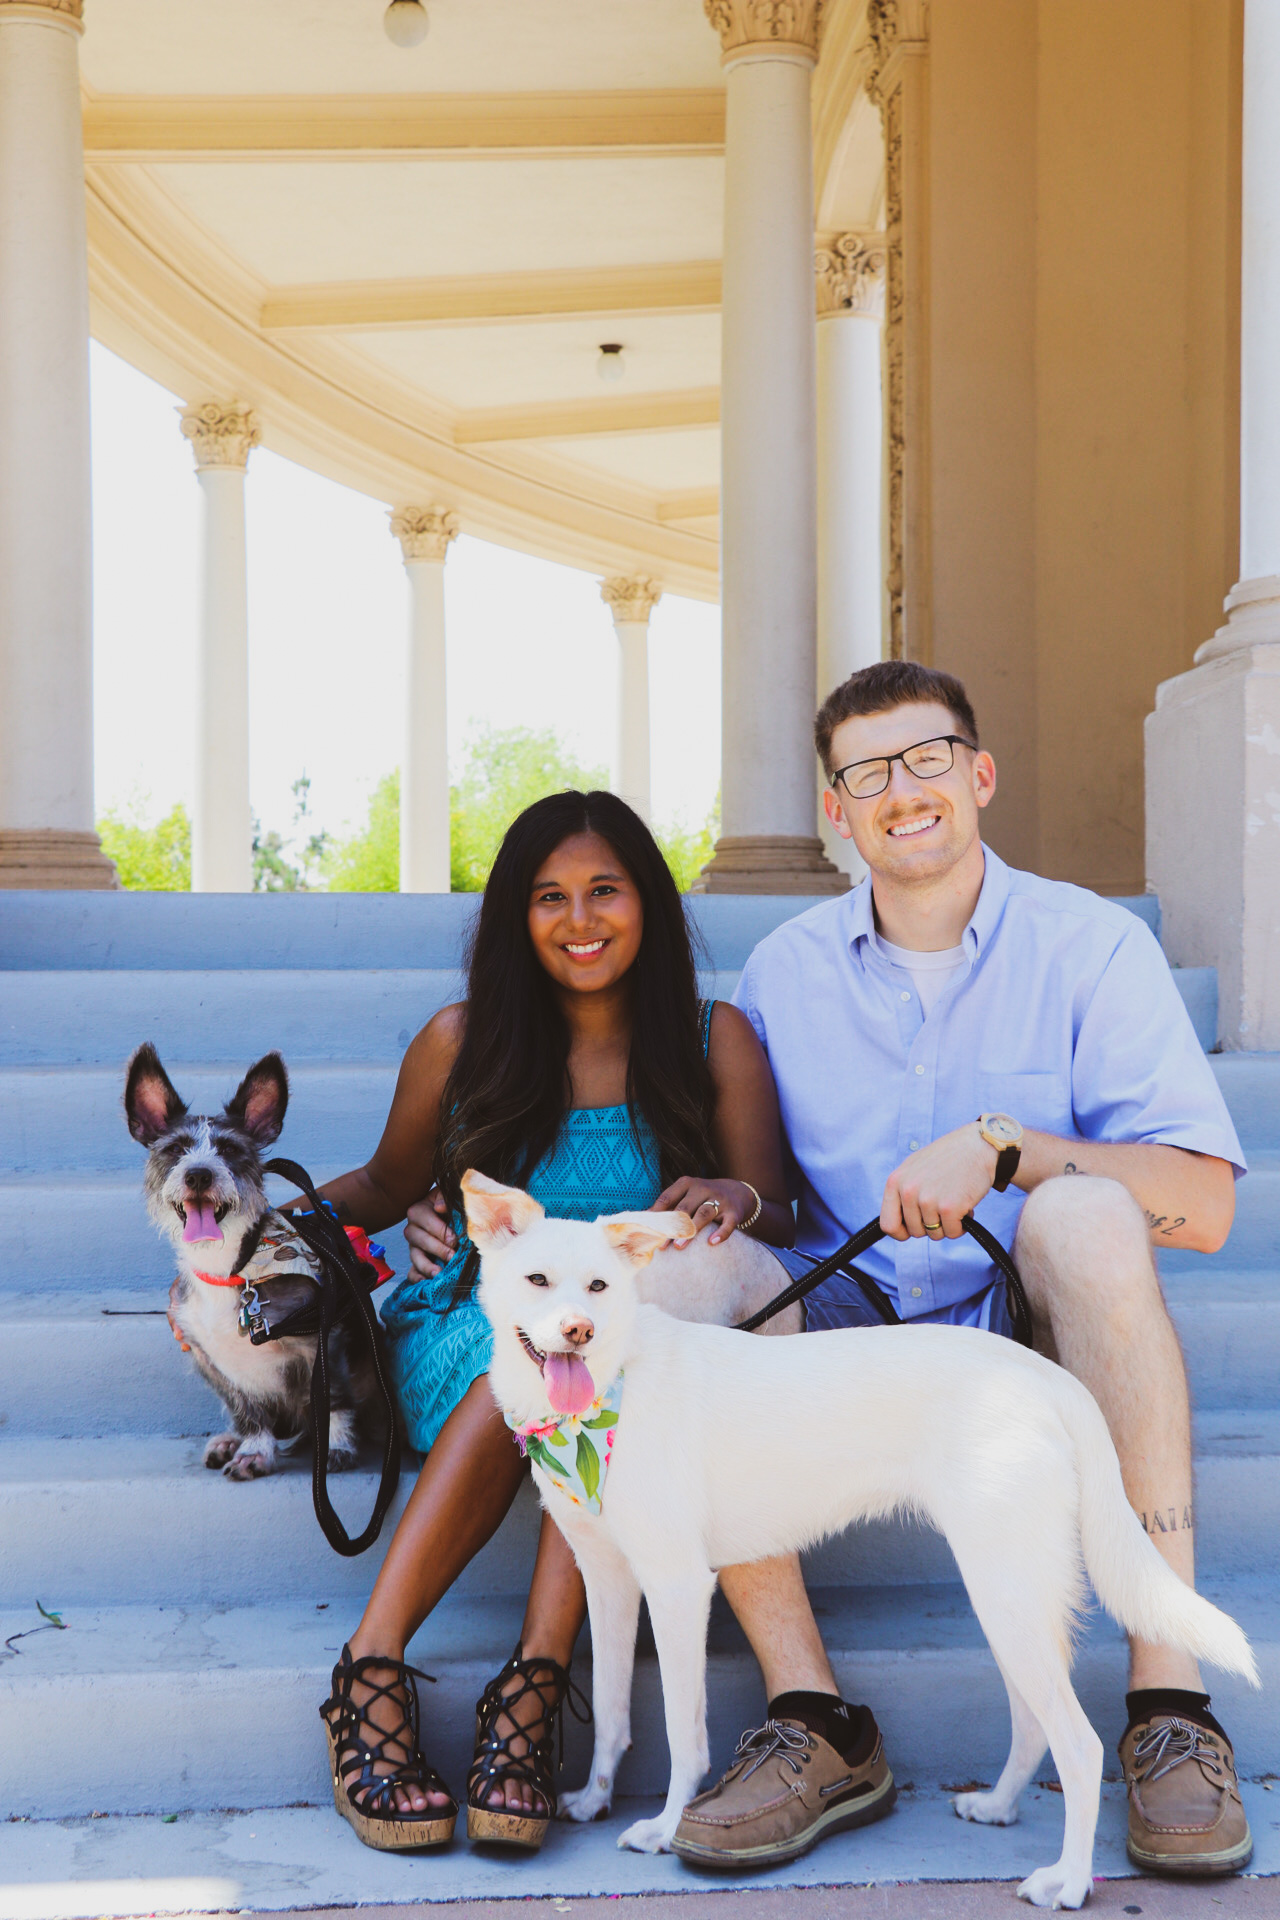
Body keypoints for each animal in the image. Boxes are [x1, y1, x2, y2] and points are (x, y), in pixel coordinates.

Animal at [125, 1043, 384, 1480]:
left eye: (230, 1149)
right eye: (175, 1149)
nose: (198, 1175)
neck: (231, 1269)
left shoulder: (321, 1343)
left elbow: (332, 1398)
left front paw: (338, 1446)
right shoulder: (206, 1358)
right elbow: (246, 1411)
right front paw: (253, 1449)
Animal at [465, 1171, 1259, 1911]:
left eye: (600, 1287)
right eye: (538, 1280)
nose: (578, 1331)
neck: (609, 1391)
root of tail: (1047, 1376)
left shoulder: (678, 1584)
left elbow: (682, 1731)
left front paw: (664, 1829)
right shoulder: (607, 1577)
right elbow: (612, 1708)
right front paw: (594, 1798)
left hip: (1006, 1591)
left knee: (1081, 1743)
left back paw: (1066, 1881)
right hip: (1008, 1596)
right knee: (1037, 1724)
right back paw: (1000, 1806)